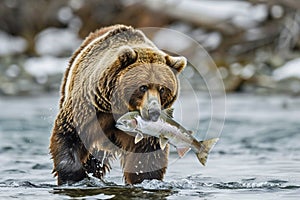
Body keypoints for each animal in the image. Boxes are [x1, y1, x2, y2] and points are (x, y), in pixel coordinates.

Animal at [50, 24, 186, 185]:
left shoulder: (147, 130)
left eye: (163, 89)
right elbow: (69, 135)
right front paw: (74, 177)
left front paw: (143, 178)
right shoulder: (91, 109)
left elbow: (146, 156)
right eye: (143, 87)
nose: (153, 112)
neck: (121, 106)